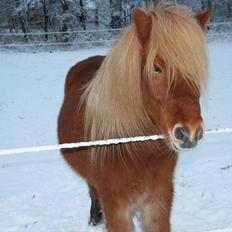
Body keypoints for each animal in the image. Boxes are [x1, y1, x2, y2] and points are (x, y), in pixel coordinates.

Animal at [57, 3, 210, 232]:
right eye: (156, 68)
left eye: (195, 68)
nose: (190, 132)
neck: (134, 149)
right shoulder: (116, 209)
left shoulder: (158, 203)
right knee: (92, 189)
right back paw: (94, 216)